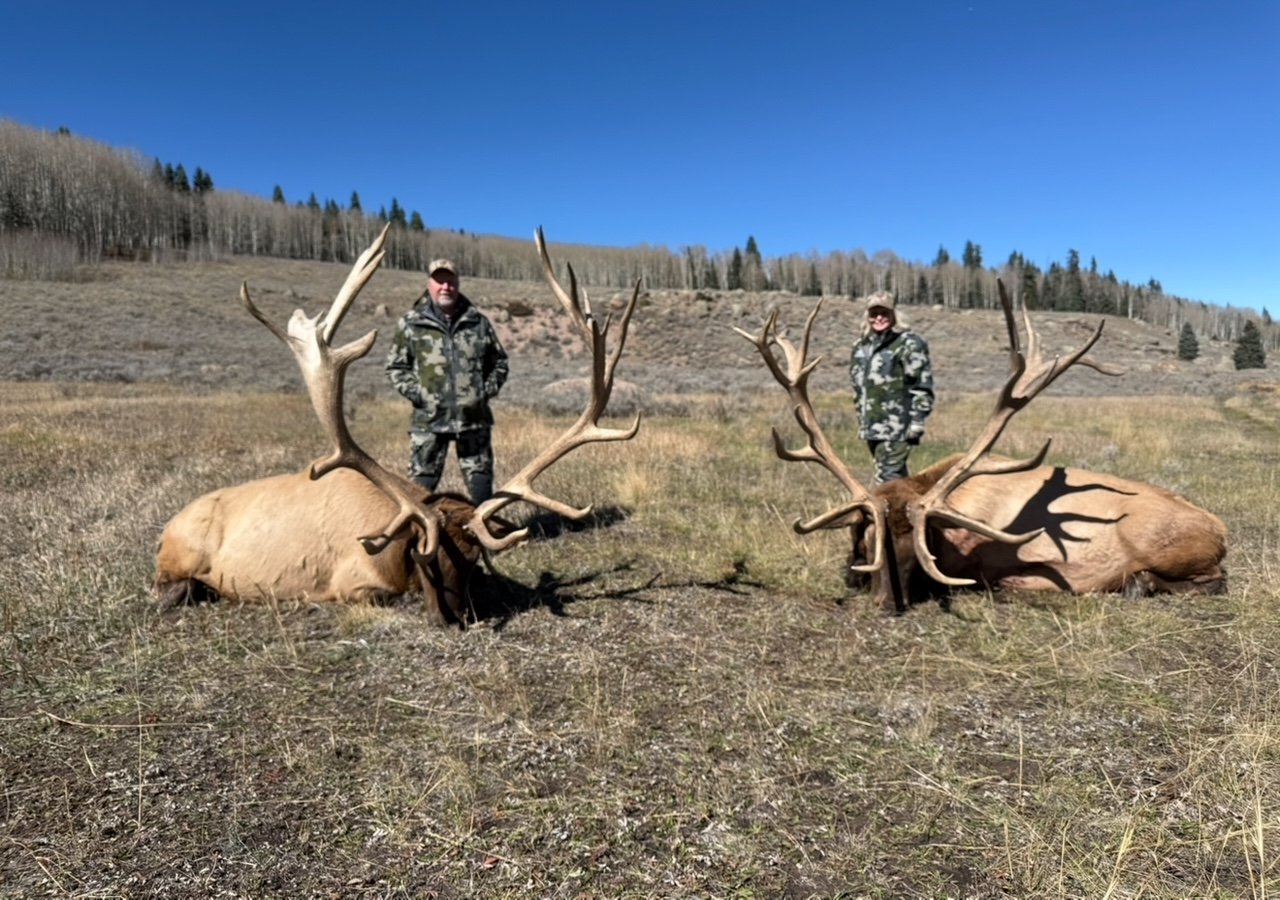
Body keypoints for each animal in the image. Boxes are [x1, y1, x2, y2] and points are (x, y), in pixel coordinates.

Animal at [153, 225, 640, 627]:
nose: (456, 619)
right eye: (424, 558)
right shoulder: (352, 582)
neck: (388, 544)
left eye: (473, 559)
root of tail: (166, 528)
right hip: (178, 557)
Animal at [737, 282, 1227, 614]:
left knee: (1213, 582)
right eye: (871, 533)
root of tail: (1221, 531)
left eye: (918, 545)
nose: (888, 602)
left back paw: (1137, 584)